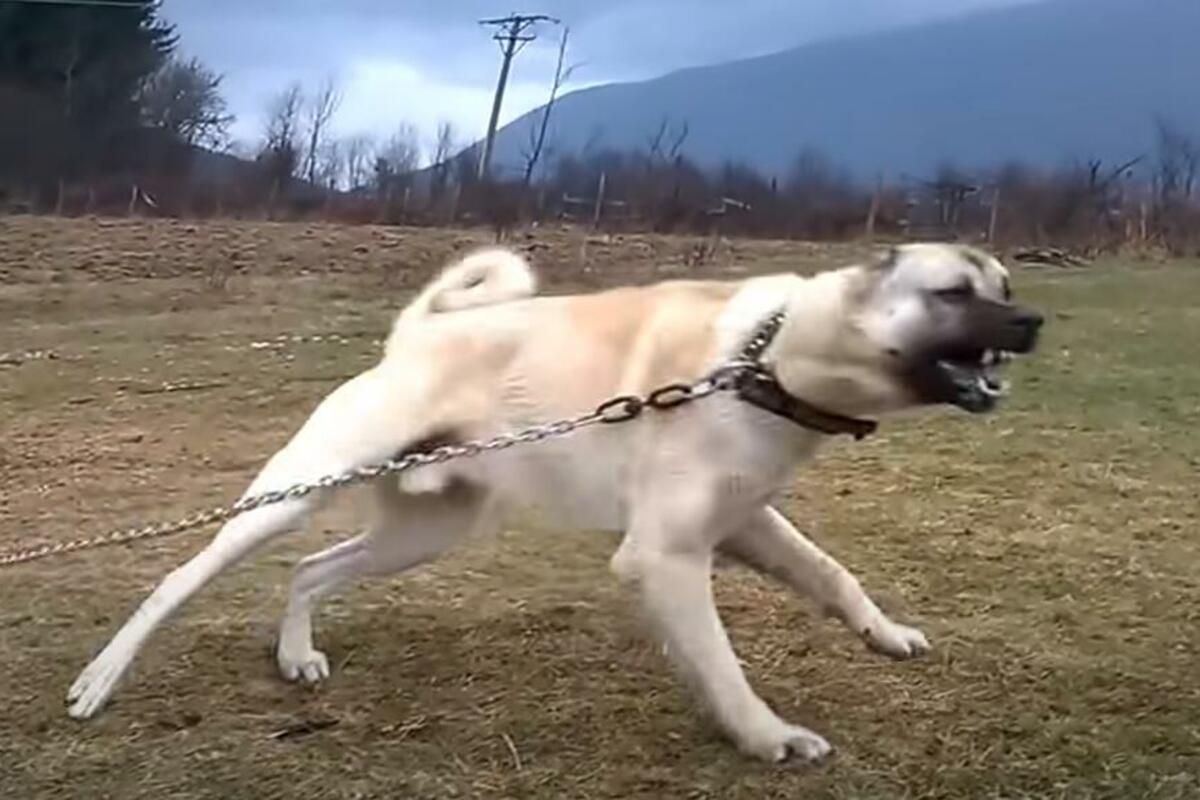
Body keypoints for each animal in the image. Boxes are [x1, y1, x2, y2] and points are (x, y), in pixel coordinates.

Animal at [66, 242, 1043, 762]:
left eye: (1002, 286)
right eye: (953, 293)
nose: (1032, 321)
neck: (766, 355)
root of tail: (414, 334)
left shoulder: (745, 523)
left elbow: (834, 576)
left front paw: (884, 634)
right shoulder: (667, 556)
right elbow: (724, 669)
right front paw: (767, 738)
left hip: (424, 532)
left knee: (311, 570)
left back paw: (296, 657)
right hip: (287, 498)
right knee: (178, 582)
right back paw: (99, 680)